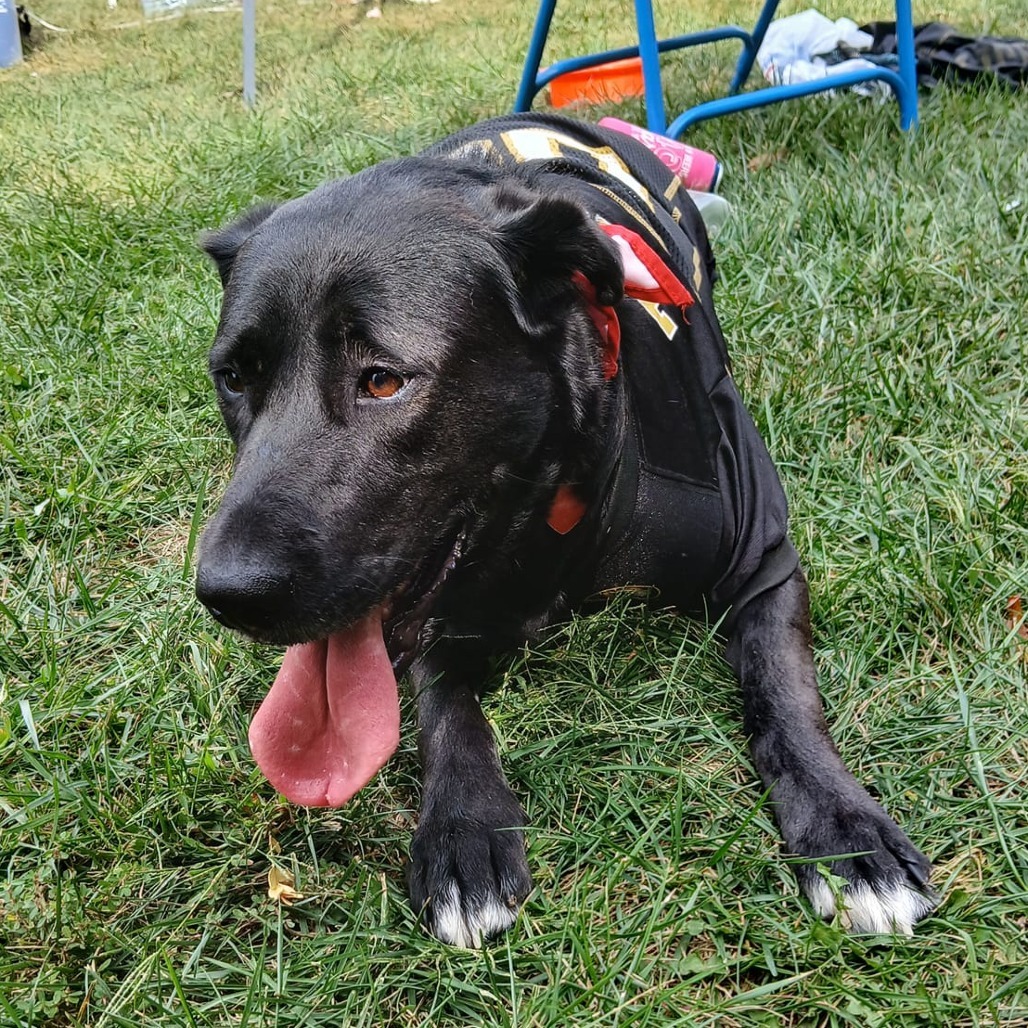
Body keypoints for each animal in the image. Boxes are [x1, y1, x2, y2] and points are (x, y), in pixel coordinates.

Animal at [194, 112, 941, 945]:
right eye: (234, 378)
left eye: (383, 380)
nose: (226, 593)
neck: (549, 508)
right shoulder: (442, 615)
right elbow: (444, 708)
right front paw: (463, 830)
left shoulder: (762, 557)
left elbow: (784, 692)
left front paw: (845, 831)